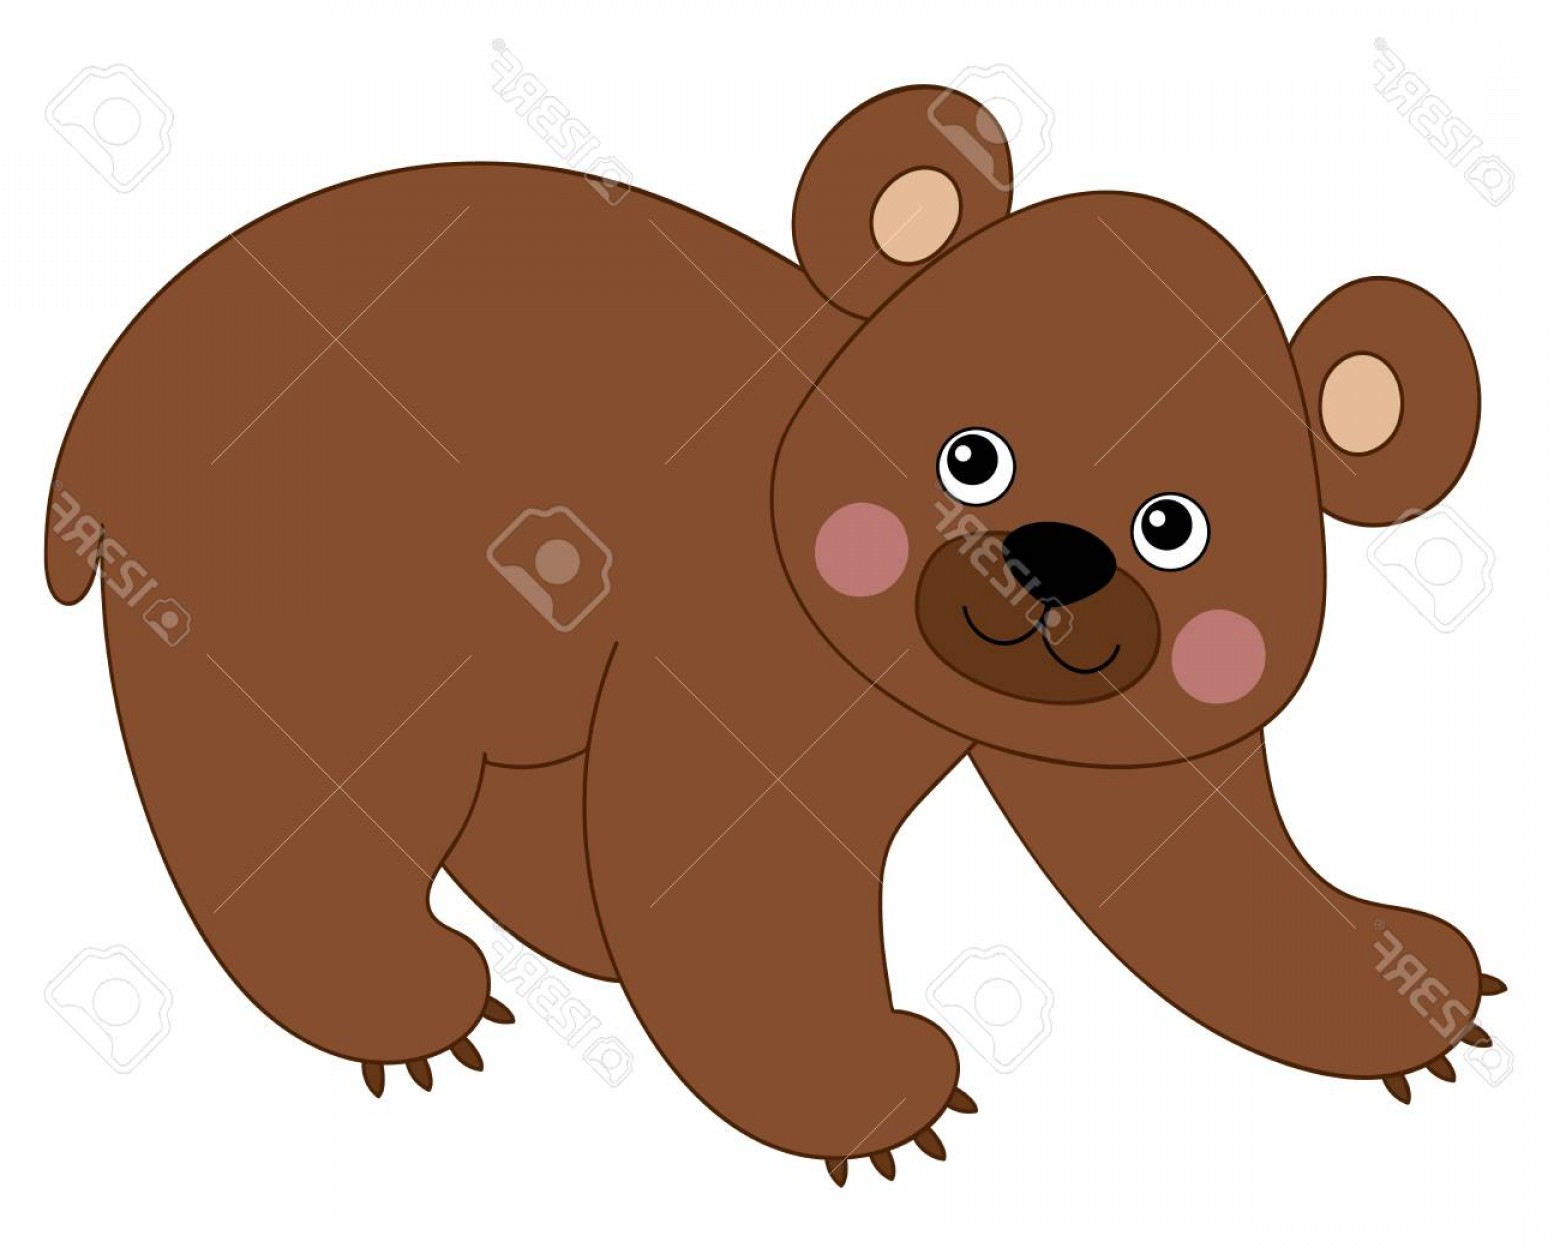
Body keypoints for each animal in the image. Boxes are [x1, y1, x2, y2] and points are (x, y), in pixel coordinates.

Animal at [44, 84, 1502, 1185]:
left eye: (1173, 526)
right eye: (972, 456)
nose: (1055, 556)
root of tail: (111, 383)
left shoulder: (1112, 728)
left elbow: (1192, 865)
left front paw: (1408, 989)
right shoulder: (747, 646)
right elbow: (728, 860)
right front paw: (878, 1091)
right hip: (304, 575)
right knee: (324, 780)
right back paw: (405, 997)